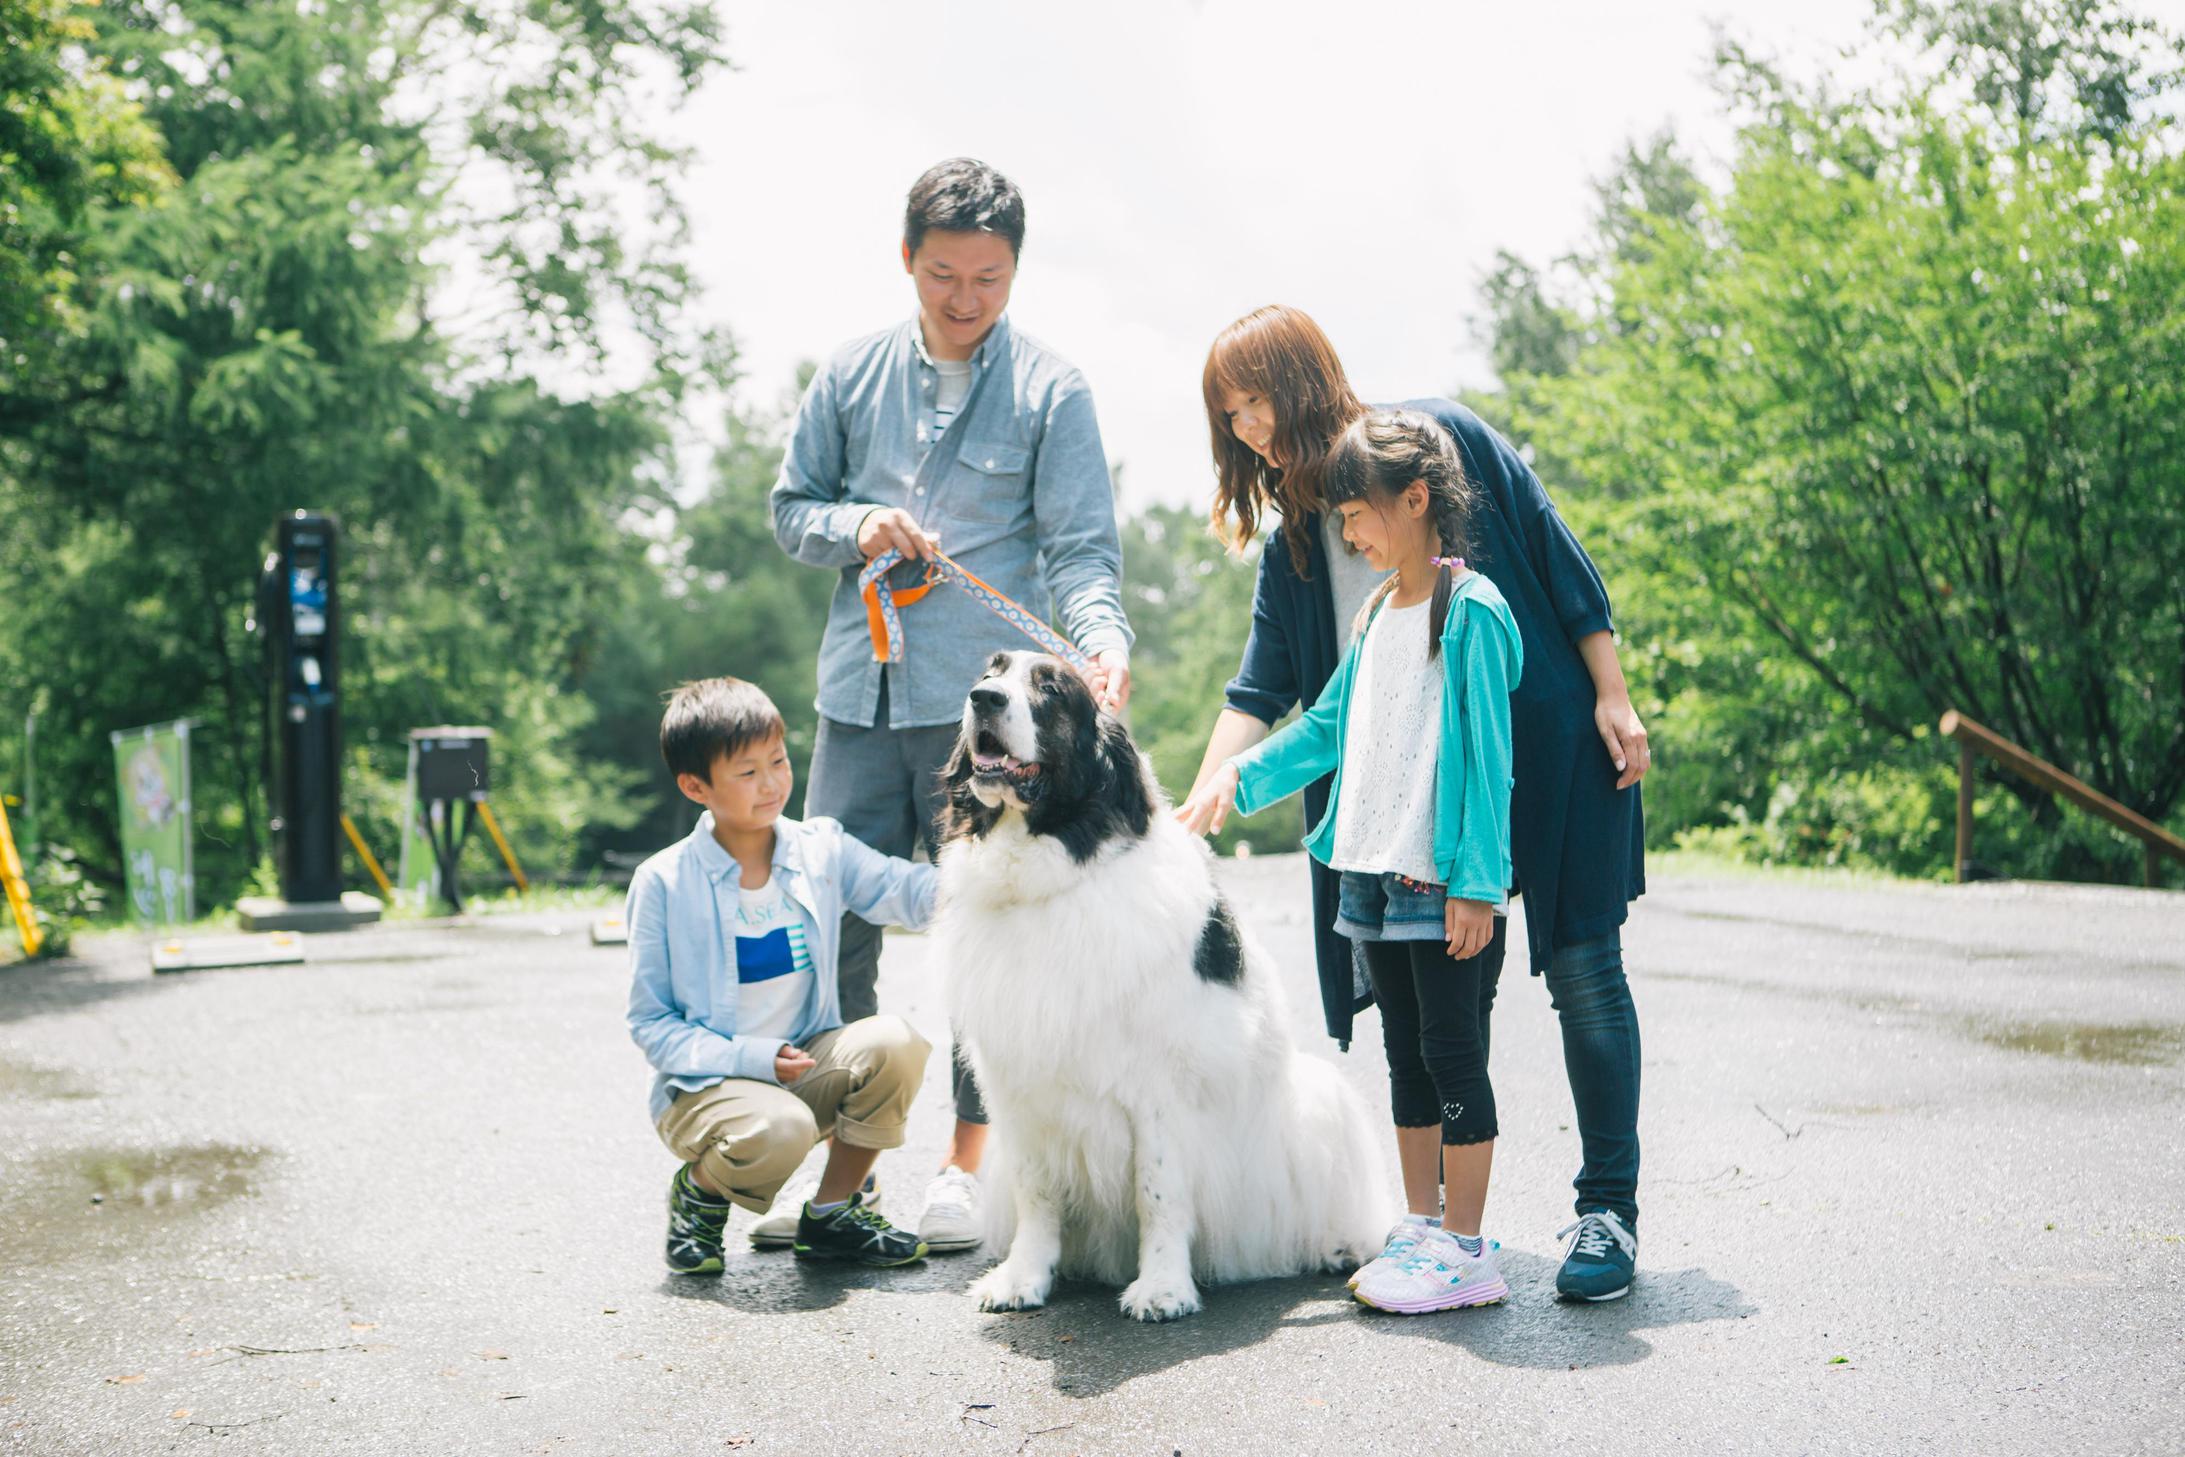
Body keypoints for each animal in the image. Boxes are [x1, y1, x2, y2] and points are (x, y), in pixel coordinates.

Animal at [935, 655, 1380, 1328]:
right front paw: (1023, 1277)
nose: (982, 699)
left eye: (1050, 687)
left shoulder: (1159, 1092)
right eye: (993, 670)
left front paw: (1163, 1288)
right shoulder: (1020, 1088)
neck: (1051, 879)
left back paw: (1340, 1246)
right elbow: (1036, 1189)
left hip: (1319, 1102)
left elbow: (1159, 1192)